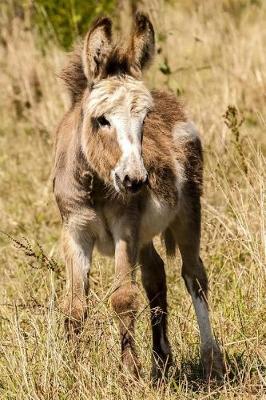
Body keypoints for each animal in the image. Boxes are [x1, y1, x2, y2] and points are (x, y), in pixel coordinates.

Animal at [53, 12, 224, 382]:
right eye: (101, 120)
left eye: (145, 119)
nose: (135, 180)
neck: (96, 184)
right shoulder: (75, 232)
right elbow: (75, 306)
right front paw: (73, 372)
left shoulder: (125, 230)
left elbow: (123, 299)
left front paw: (130, 374)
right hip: (145, 235)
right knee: (156, 275)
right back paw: (162, 360)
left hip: (187, 213)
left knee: (194, 276)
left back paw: (211, 361)